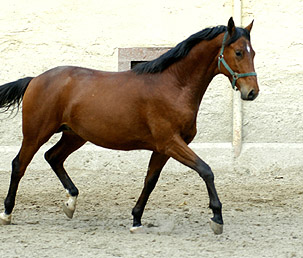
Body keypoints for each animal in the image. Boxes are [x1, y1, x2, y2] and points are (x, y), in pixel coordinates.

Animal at [0, 17, 258, 235]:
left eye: (253, 52)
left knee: (53, 157)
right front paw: (217, 218)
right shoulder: (170, 142)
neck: (173, 85)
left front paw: (136, 220)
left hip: (75, 135)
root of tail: (35, 79)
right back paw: (7, 213)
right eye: (238, 52)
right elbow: (206, 170)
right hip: (36, 133)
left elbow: (150, 181)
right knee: (19, 165)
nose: (252, 92)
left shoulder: (163, 148)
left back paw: (70, 203)